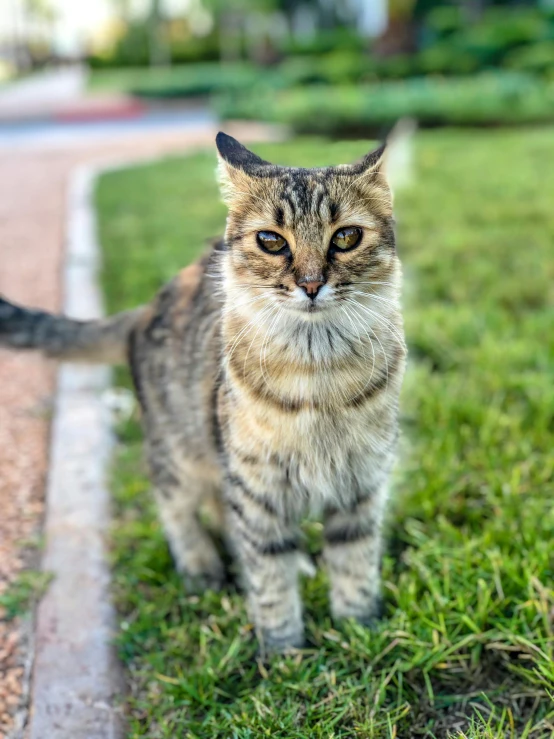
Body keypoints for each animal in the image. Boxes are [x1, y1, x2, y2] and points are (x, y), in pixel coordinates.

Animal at [0, 134, 406, 652]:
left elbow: (355, 565)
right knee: (176, 507)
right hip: (180, 453)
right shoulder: (255, 485)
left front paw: (359, 630)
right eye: (271, 241)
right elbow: (269, 576)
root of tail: (144, 309)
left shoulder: (361, 484)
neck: (319, 375)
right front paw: (284, 650)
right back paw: (200, 567)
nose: (312, 284)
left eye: (346, 237)